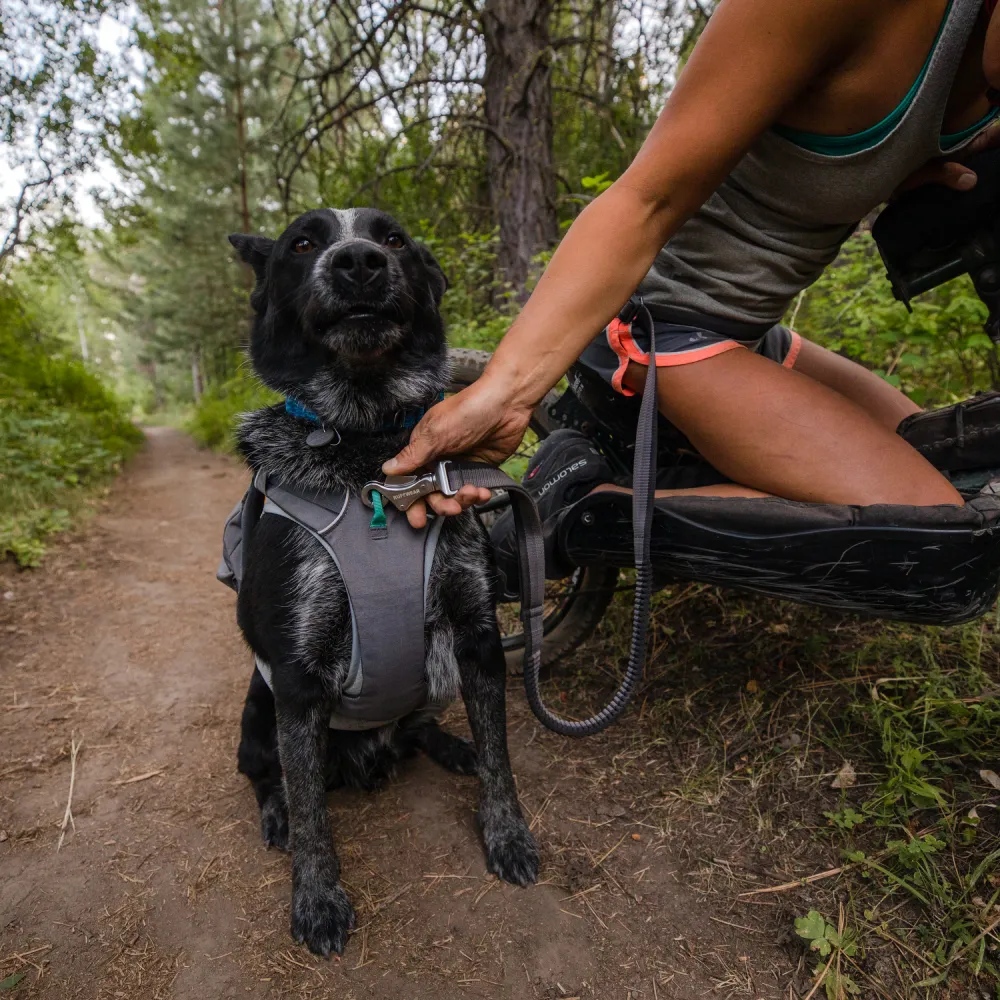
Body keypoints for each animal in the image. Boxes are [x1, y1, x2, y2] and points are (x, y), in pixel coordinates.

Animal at [229, 209, 540, 952]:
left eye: (392, 238)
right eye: (302, 243)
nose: (359, 263)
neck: (366, 446)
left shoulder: (478, 637)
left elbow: (502, 757)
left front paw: (507, 834)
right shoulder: (296, 676)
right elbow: (313, 812)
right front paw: (316, 899)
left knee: (419, 725)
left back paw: (451, 746)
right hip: (256, 709)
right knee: (268, 775)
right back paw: (275, 813)